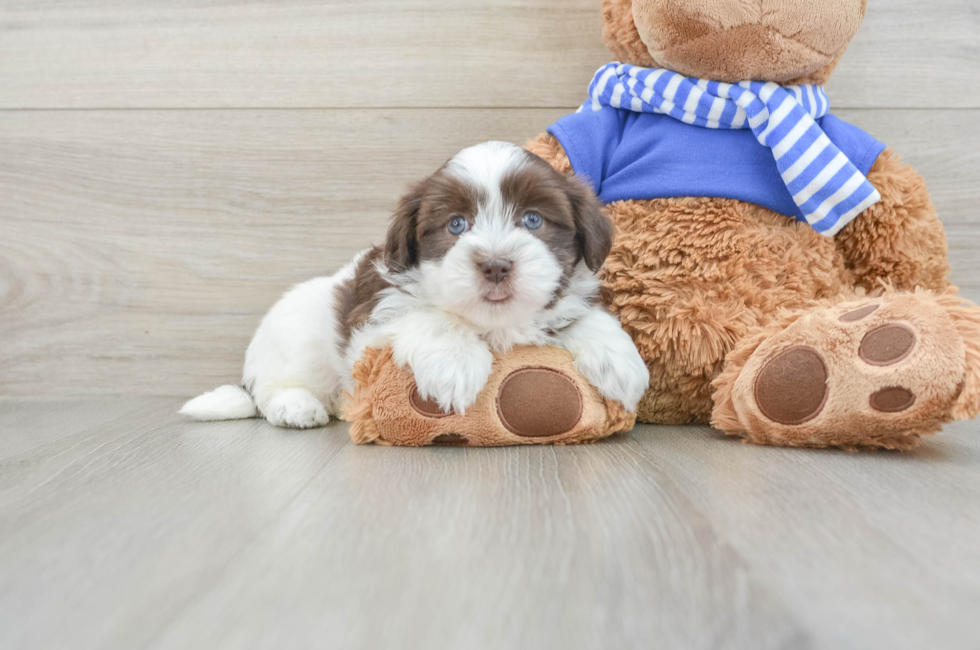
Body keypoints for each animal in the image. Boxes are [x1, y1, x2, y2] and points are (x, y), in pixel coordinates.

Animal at [182, 139, 652, 428]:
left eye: (533, 220)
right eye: (456, 224)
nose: (496, 266)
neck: (493, 323)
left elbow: (581, 317)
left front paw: (620, 362)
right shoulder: (373, 318)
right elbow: (428, 316)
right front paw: (456, 364)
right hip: (291, 342)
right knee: (272, 389)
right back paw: (297, 407)